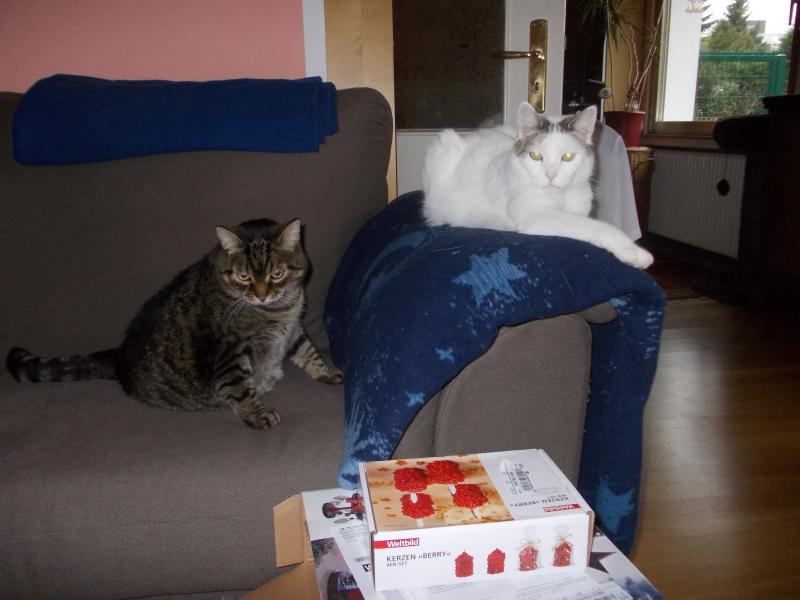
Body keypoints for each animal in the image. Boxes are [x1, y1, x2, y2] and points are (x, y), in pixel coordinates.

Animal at [6, 218, 342, 429]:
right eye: (244, 276)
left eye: (276, 274)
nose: (261, 295)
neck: (278, 310)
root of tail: (118, 355)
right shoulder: (231, 351)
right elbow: (241, 390)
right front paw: (257, 417)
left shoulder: (294, 330)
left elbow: (310, 353)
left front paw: (327, 372)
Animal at [421, 102, 653, 269]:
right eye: (535, 155)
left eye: (568, 157)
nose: (550, 175)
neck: (562, 196)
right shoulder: (536, 214)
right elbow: (593, 226)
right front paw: (634, 252)